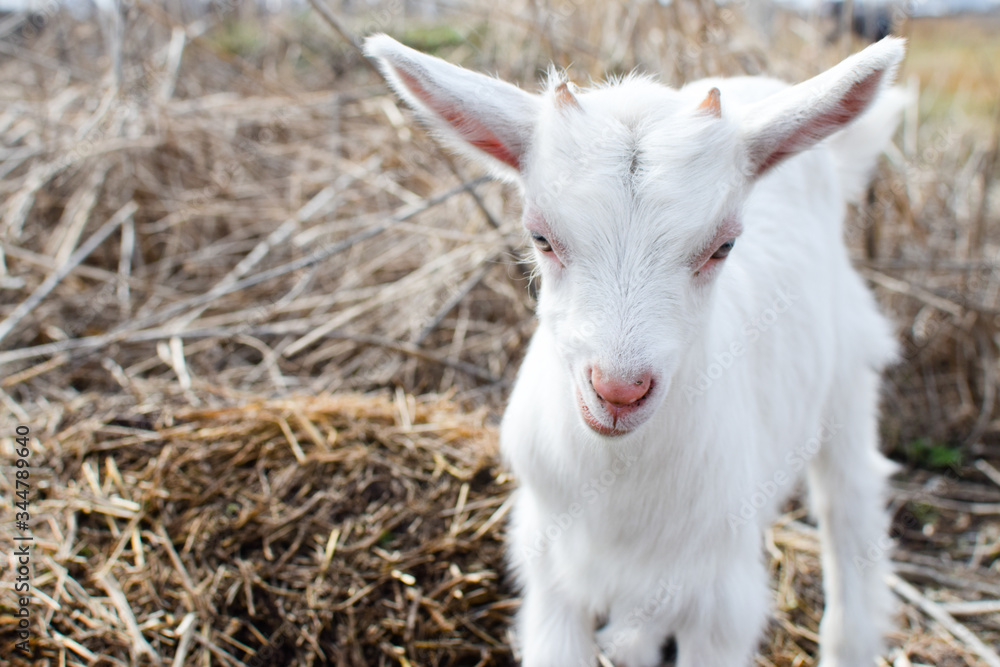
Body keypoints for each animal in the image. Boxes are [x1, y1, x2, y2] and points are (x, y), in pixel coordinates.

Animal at [364, 33, 906, 667]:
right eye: (540, 236)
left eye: (724, 246)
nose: (618, 391)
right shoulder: (550, 567)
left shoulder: (721, 599)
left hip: (847, 372)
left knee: (850, 502)